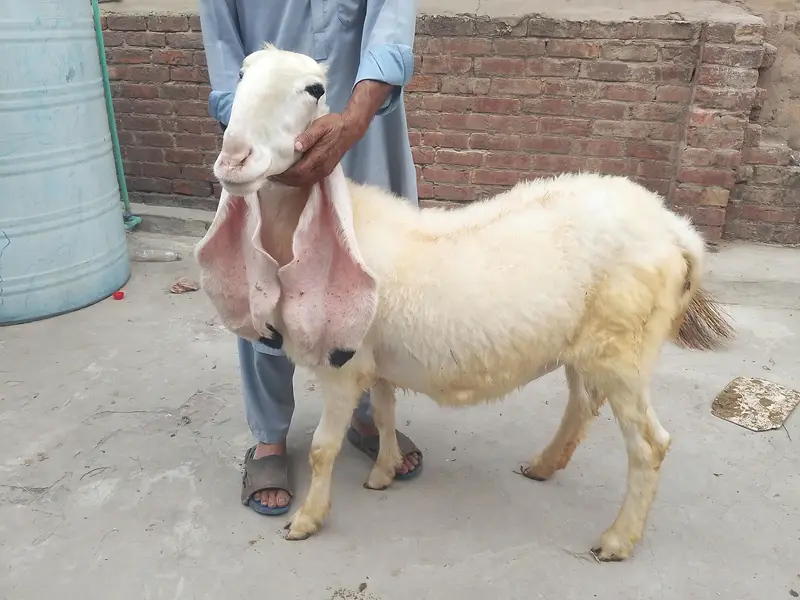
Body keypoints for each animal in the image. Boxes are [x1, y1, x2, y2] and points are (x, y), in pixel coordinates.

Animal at [194, 44, 735, 561]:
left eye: (314, 89)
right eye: (239, 76)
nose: (234, 160)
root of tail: (676, 229)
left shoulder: (342, 365)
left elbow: (323, 450)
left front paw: (307, 520)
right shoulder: (378, 359)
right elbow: (386, 412)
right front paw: (384, 472)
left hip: (625, 349)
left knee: (650, 445)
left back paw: (618, 540)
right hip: (591, 344)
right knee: (583, 405)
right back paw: (543, 466)